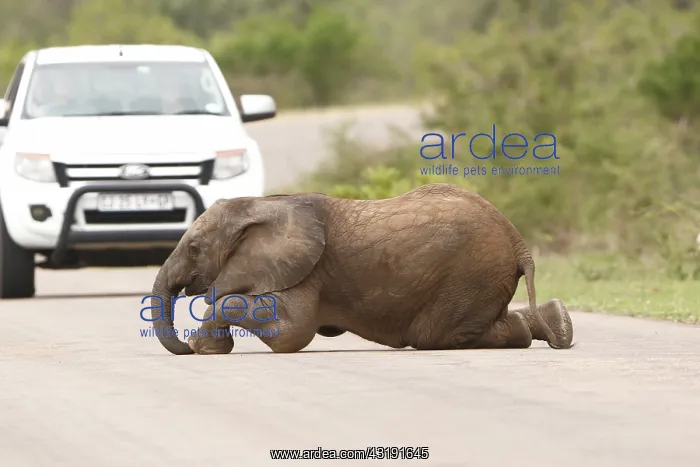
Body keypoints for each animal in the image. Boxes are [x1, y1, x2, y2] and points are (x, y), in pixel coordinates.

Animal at [148, 183, 574, 355]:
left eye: (194, 248)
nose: (182, 348)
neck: (258, 204)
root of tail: (516, 237)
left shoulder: (308, 269)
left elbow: (293, 331)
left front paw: (201, 348)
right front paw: (206, 349)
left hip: (468, 273)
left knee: (434, 336)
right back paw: (560, 324)